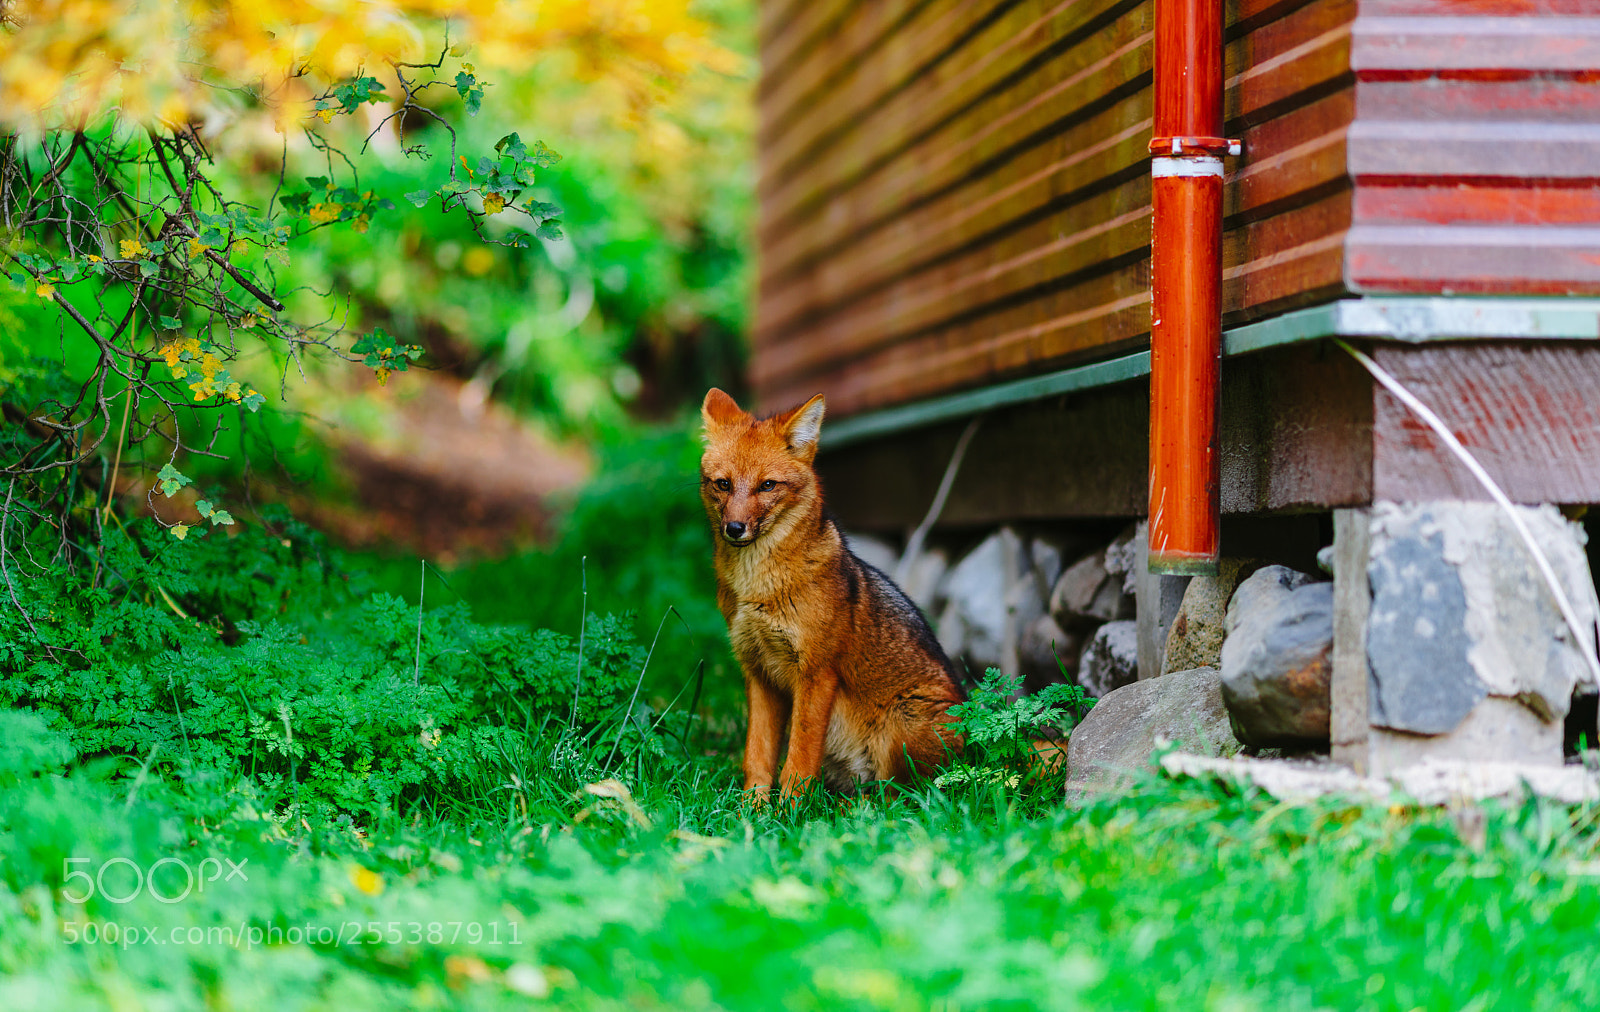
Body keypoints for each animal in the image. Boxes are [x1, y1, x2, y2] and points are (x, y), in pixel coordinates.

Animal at [699, 387, 967, 801]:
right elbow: (757, 758)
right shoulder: (758, 673)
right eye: (723, 484)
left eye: (767, 485)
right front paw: (751, 811)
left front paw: (789, 813)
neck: (756, 589)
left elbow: (798, 762)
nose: (735, 528)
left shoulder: (816, 674)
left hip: (901, 728)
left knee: (909, 798)